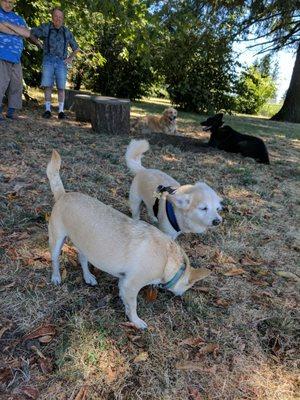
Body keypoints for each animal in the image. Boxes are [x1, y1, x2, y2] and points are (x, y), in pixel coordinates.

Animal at [47, 149, 211, 328]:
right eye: (188, 286)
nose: (182, 296)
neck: (169, 260)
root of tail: (63, 195)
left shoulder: (123, 281)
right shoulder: (131, 285)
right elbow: (133, 305)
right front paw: (136, 321)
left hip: (86, 245)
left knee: (82, 258)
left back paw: (88, 276)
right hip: (56, 241)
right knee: (55, 260)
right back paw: (56, 277)